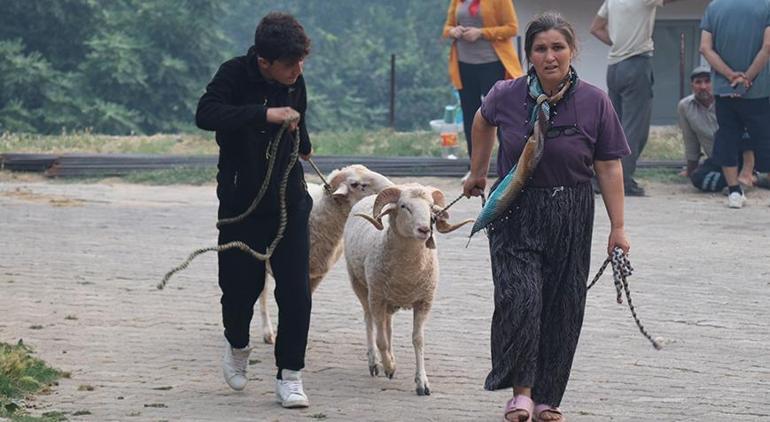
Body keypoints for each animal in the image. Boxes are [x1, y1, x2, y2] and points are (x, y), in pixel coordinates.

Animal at [340, 184, 468, 396]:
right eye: (403, 206)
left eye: (431, 207)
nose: (424, 230)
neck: (406, 274)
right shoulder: (376, 297)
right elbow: (380, 340)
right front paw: (389, 366)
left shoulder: (424, 302)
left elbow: (418, 340)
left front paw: (422, 383)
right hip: (360, 285)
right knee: (370, 322)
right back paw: (375, 362)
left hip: (388, 300)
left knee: (387, 326)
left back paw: (389, 359)